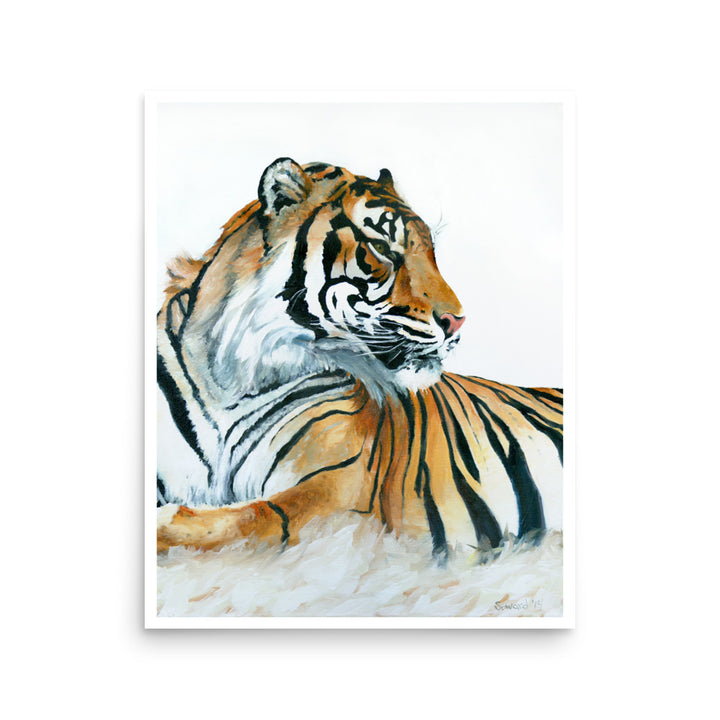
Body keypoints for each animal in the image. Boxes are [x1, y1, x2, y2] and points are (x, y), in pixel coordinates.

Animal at [156, 157, 563, 559]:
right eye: (383, 247)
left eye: (431, 252)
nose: (458, 321)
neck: (231, 377)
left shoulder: (339, 492)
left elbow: (250, 517)